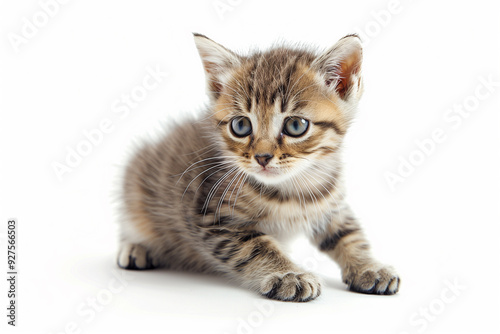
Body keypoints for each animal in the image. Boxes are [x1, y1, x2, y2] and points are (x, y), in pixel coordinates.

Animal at [116, 32, 398, 302]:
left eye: (296, 125)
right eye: (240, 125)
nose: (262, 157)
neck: (292, 187)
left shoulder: (331, 205)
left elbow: (349, 235)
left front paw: (368, 267)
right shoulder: (213, 219)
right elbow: (257, 247)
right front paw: (288, 274)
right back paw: (135, 248)